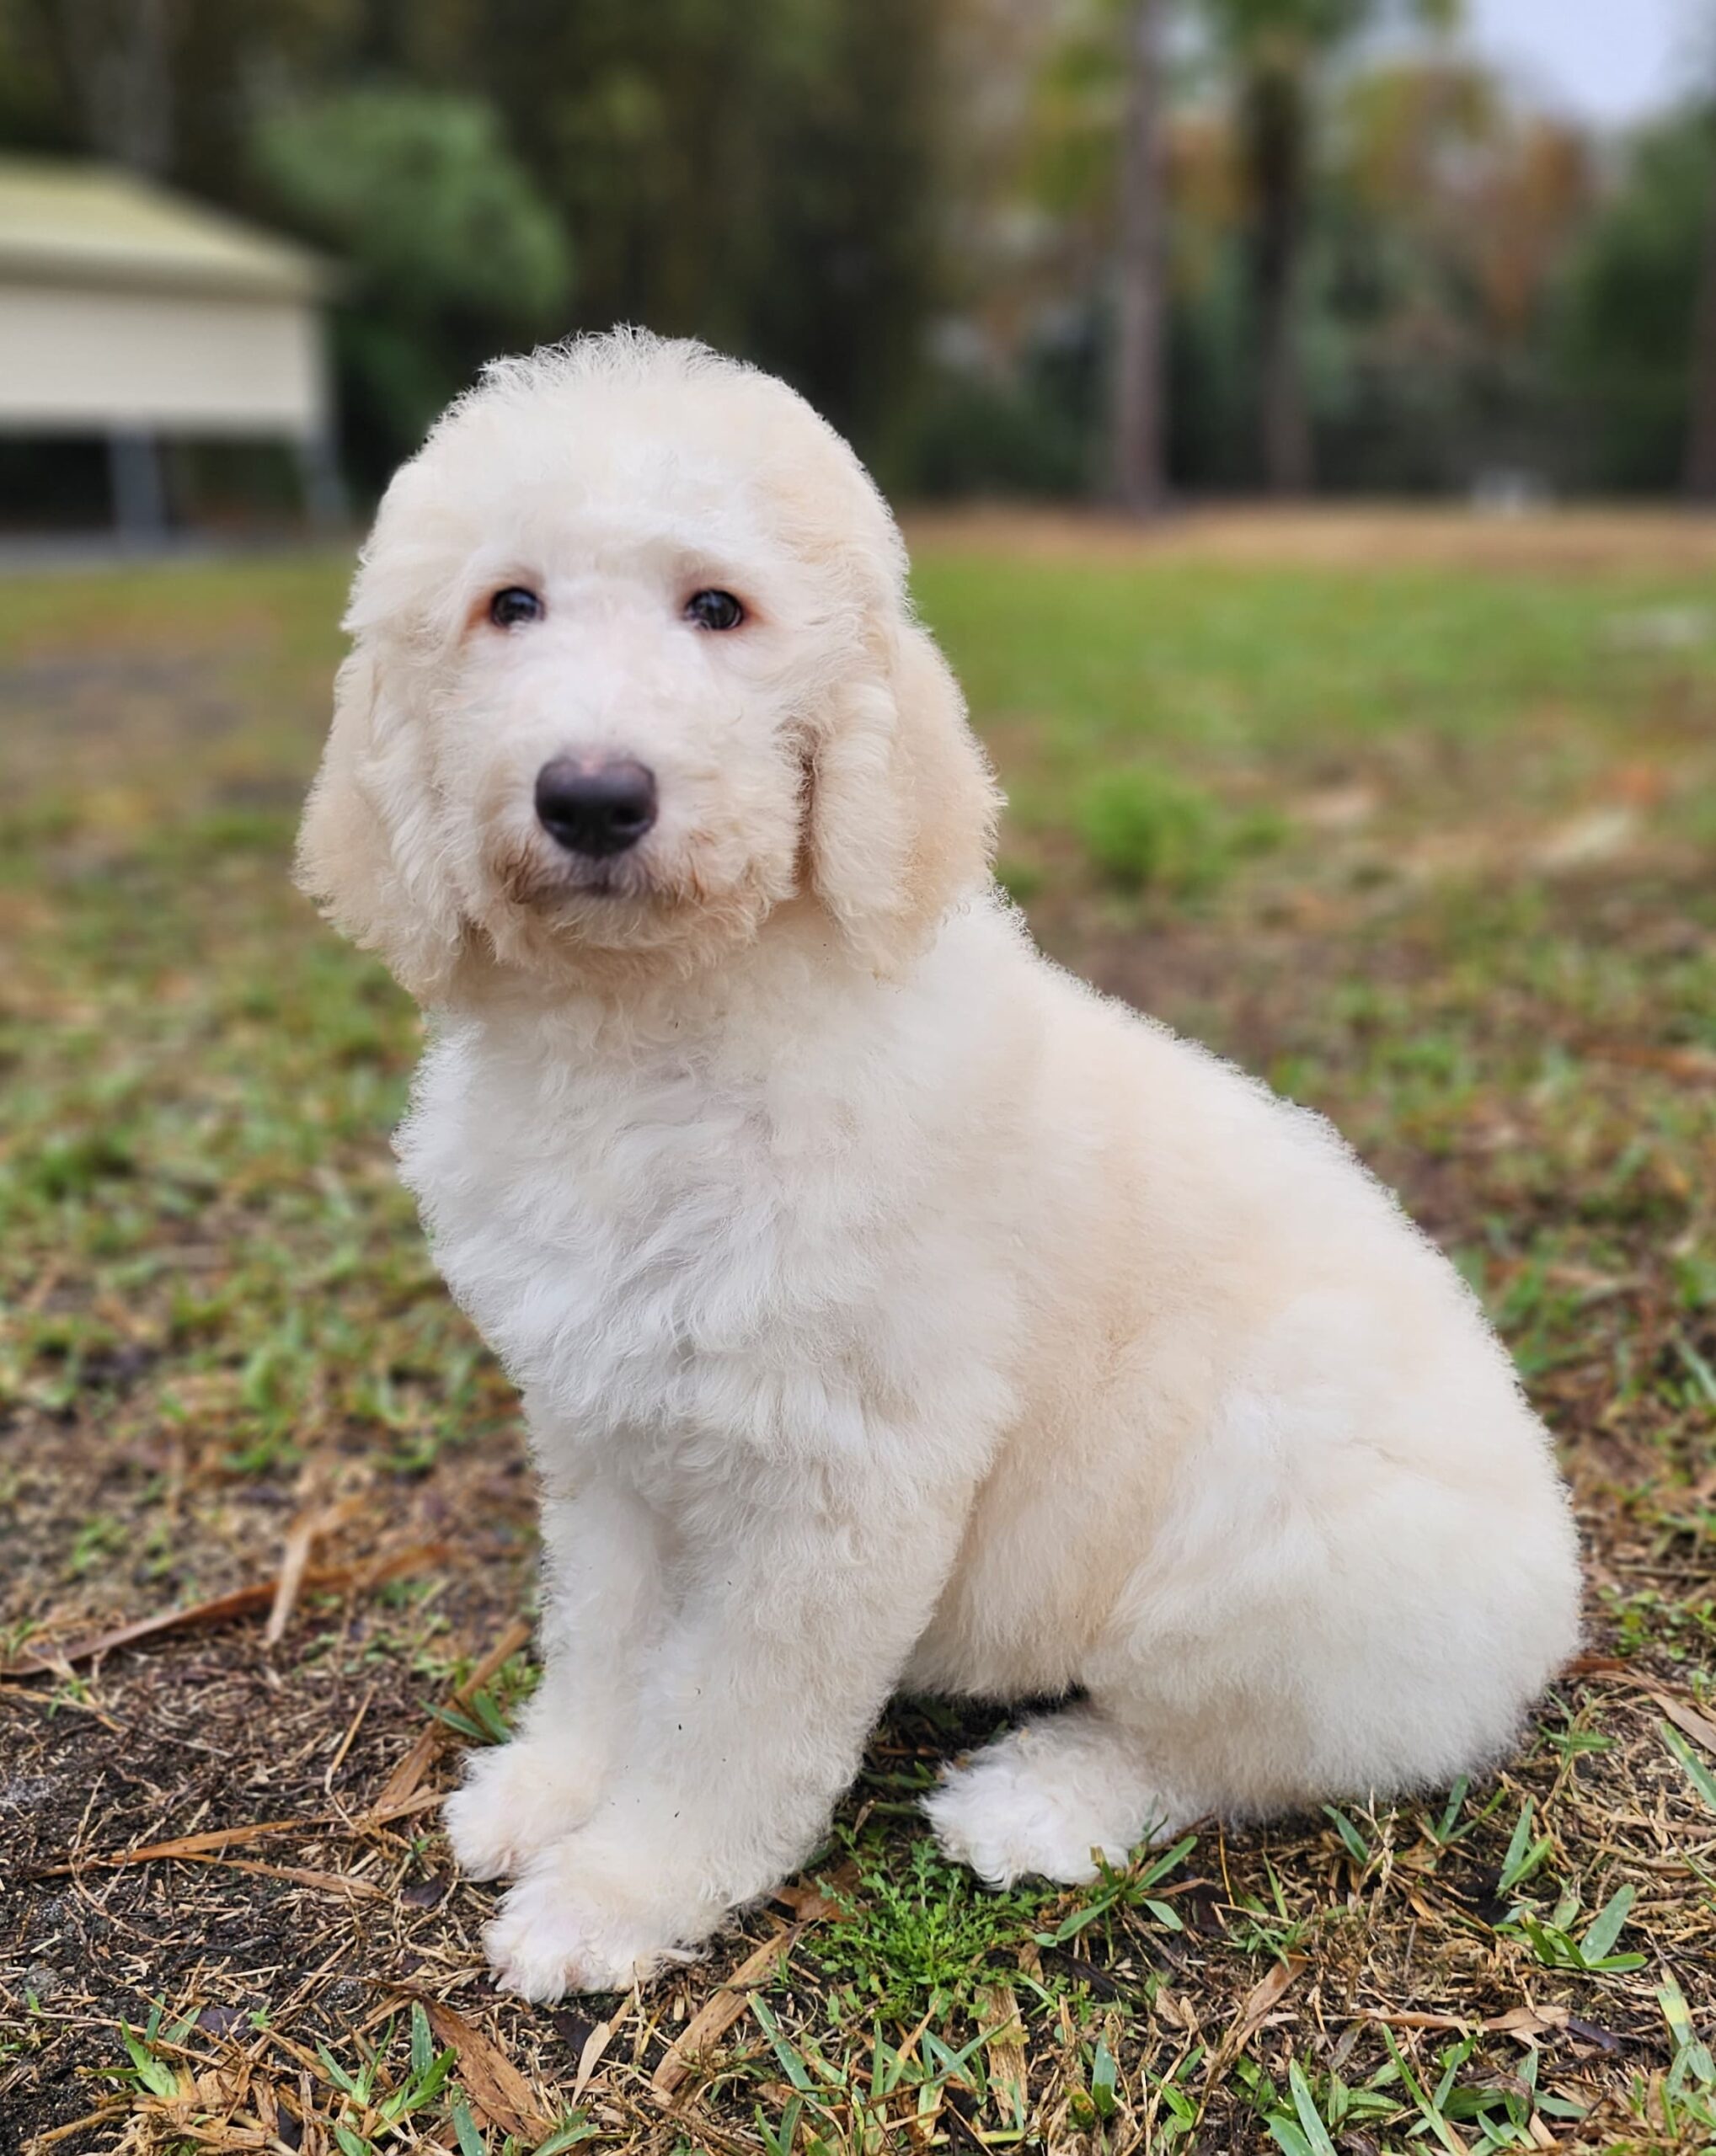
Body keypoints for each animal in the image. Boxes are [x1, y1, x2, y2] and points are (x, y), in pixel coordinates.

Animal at [297, 329, 1580, 2000]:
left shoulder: (841, 1475)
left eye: (718, 609)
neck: (658, 1033)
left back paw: (1038, 1803)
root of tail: (1553, 1593)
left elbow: (730, 1718)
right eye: (507, 605)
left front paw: (625, 1891)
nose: (592, 796)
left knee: (1231, 1747)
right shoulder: (605, 1427)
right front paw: (551, 1787)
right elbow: (605, 1636)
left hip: (1277, 1515)